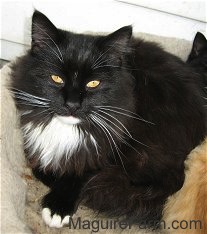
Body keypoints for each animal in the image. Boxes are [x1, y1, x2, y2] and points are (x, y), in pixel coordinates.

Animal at [10, 11, 207, 229]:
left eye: (93, 83)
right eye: (56, 78)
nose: (72, 104)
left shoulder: (105, 151)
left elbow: (81, 173)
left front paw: (57, 207)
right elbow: (41, 165)